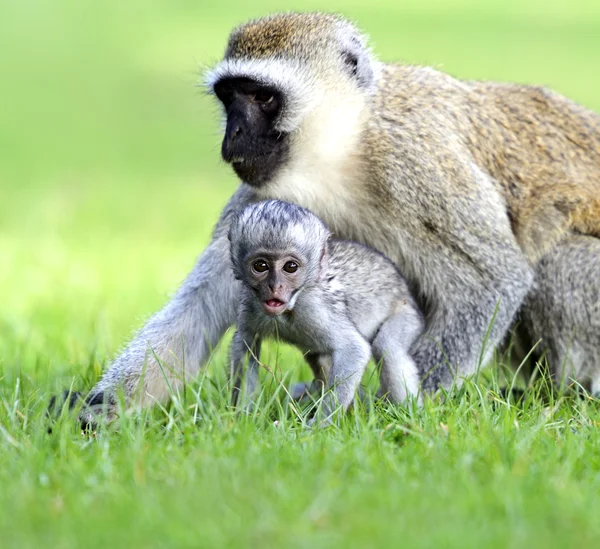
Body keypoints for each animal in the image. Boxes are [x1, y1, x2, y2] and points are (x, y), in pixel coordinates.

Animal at [227, 199, 424, 422]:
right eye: (260, 265)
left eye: (290, 267)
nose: (274, 286)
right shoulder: (249, 305)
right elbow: (245, 346)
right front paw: (243, 417)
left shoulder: (314, 307)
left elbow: (354, 350)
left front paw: (319, 424)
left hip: (408, 315)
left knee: (388, 347)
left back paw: (408, 417)